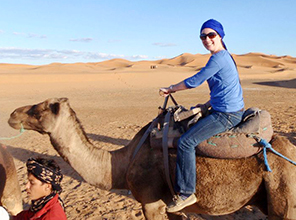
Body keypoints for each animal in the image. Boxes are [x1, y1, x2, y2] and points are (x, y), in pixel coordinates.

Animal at [8, 98, 296, 220]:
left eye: (38, 110)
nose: (12, 114)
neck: (119, 165)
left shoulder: (151, 202)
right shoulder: (171, 208)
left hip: (284, 194)